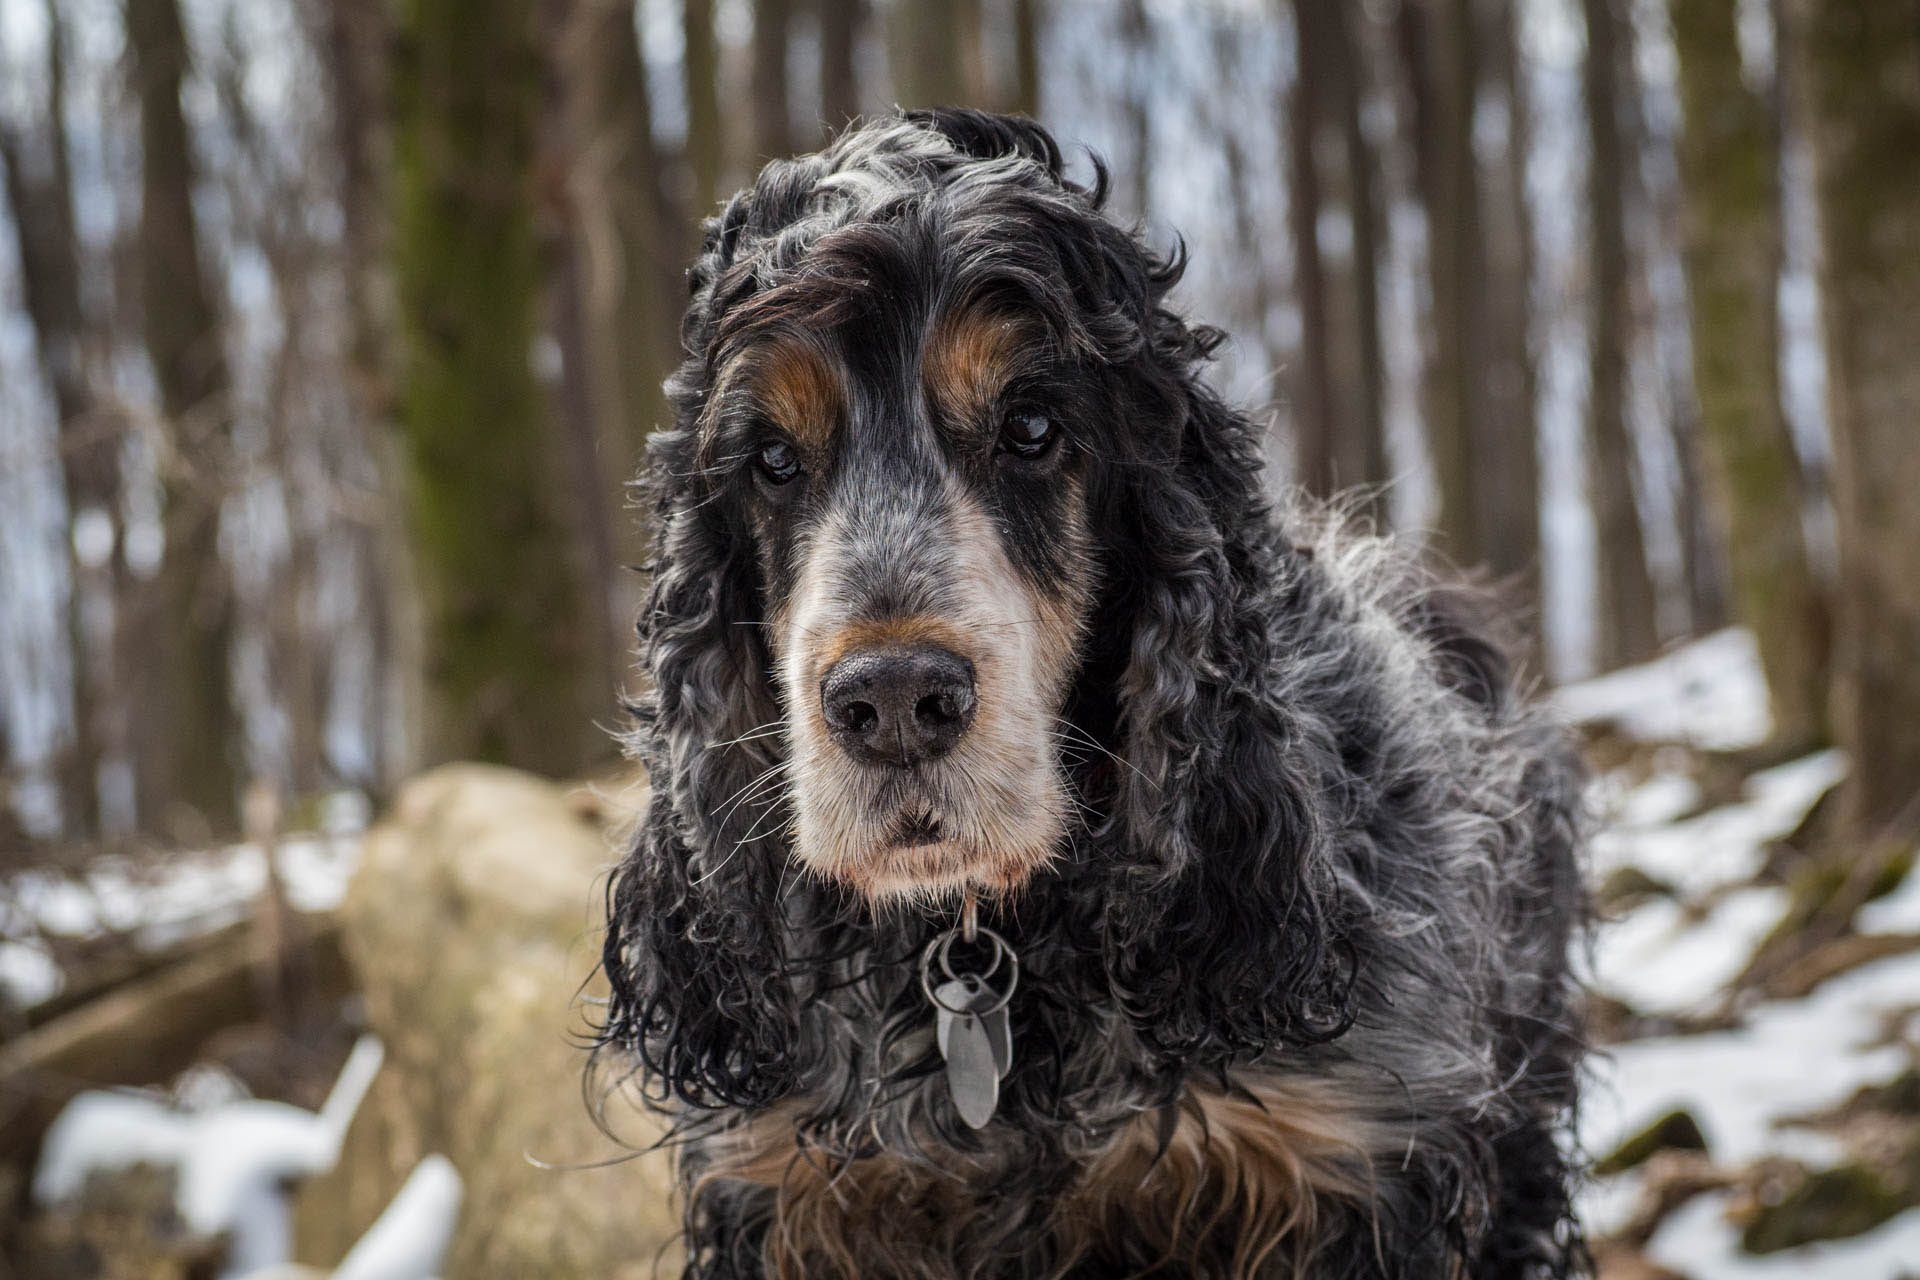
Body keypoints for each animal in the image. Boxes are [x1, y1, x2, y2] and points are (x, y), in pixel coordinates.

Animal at [599, 112, 1589, 1280]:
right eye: (772, 459)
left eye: (1032, 429)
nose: (893, 702)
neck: (1005, 948)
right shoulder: (790, 1194)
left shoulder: (1355, 1164)